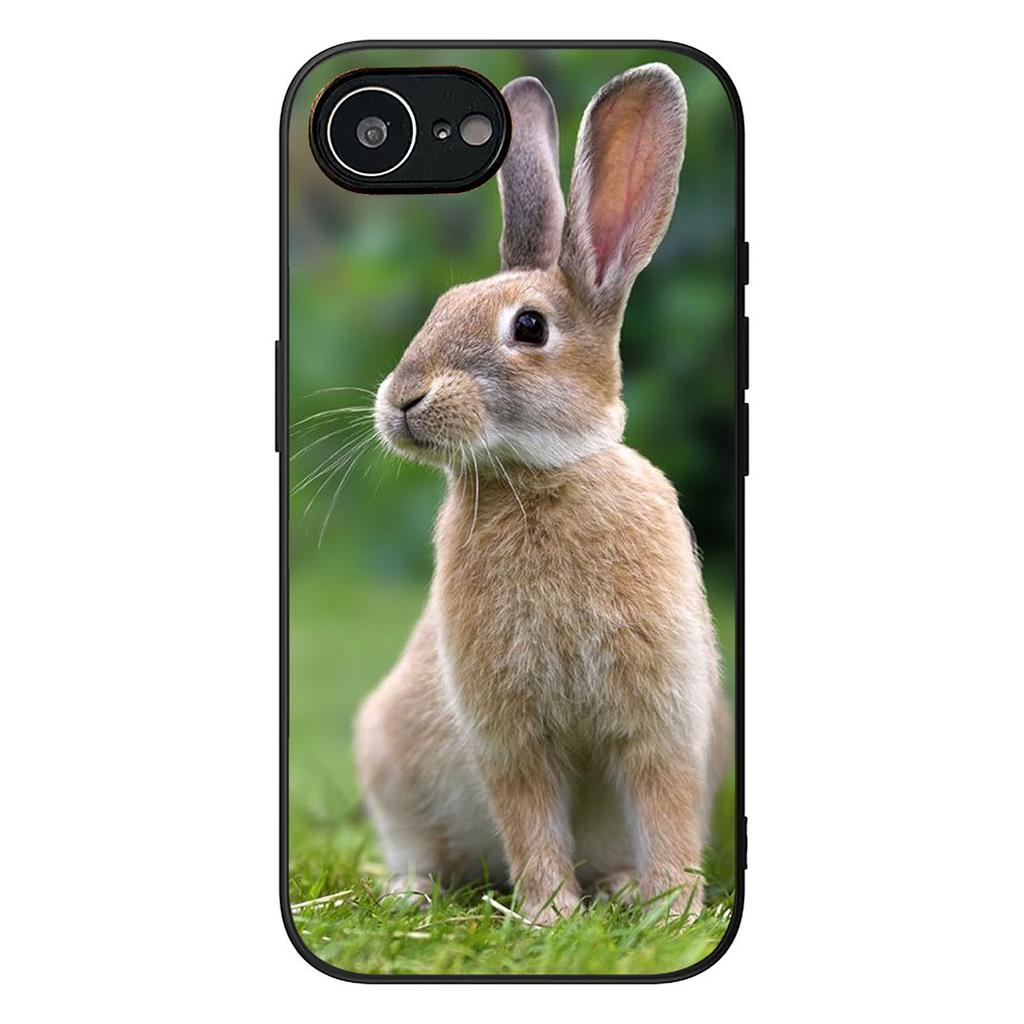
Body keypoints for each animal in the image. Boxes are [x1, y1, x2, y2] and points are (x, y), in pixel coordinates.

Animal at [354, 63, 728, 925]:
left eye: (529, 328)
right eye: (439, 308)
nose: (402, 400)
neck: (541, 477)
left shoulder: (661, 716)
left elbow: (664, 806)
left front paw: (673, 910)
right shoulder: (508, 730)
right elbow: (529, 817)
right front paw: (550, 915)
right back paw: (411, 893)